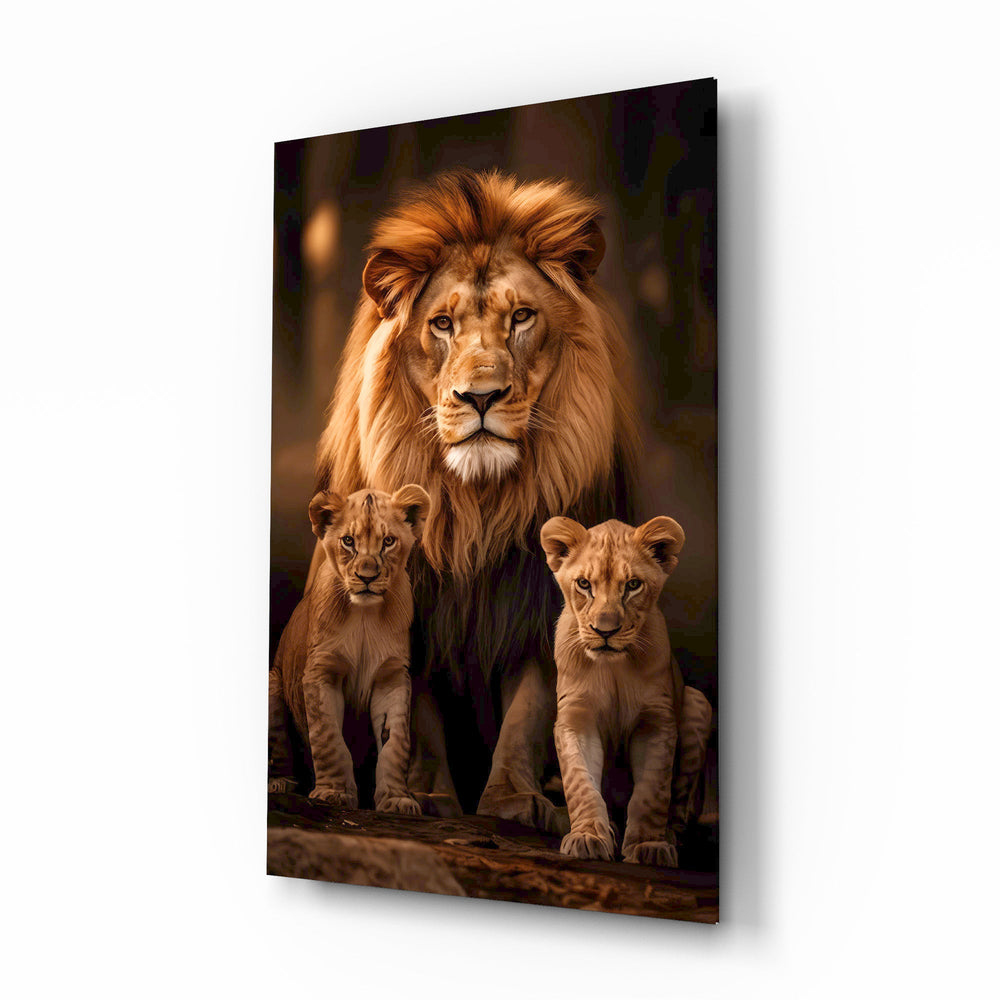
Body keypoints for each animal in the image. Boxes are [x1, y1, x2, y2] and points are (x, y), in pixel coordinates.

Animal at [269, 485, 429, 815]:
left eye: (388, 542)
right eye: (348, 541)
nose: (367, 576)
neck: (365, 616)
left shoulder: (392, 676)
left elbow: (395, 744)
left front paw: (397, 798)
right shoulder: (321, 671)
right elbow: (329, 740)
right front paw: (333, 792)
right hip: (273, 683)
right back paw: (280, 783)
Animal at [309, 169, 639, 832]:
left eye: (522, 317)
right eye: (442, 324)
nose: (480, 396)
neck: (476, 509)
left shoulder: (542, 606)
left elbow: (529, 710)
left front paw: (514, 801)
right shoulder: (415, 614)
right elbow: (417, 715)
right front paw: (428, 795)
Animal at [540, 514, 712, 865]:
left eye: (633, 585)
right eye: (584, 584)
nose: (605, 631)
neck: (613, 669)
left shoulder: (656, 720)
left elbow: (651, 792)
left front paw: (648, 846)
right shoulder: (575, 717)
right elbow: (581, 783)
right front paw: (588, 836)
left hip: (698, 703)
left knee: (681, 809)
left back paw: (668, 835)